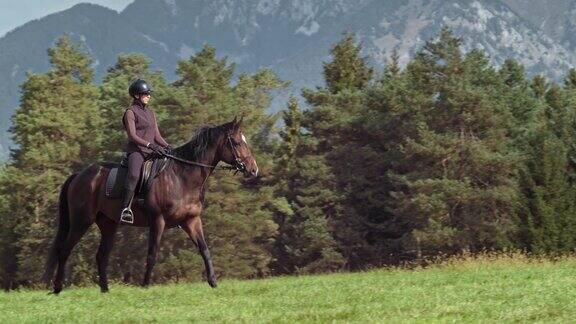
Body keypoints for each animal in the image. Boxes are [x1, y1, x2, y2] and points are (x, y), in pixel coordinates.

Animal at [40, 117, 256, 294]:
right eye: (237, 142)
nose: (253, 170)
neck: (182, 176)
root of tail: (79, 175)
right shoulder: (157, 220)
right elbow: (152, 253)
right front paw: (145, 285)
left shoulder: (191, 221)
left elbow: (205, 249)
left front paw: (213, 282)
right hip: (82, 221)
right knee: (65, 250)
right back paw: (57, 288)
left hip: (108, 224)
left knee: (102, 255)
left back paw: (105, 290)